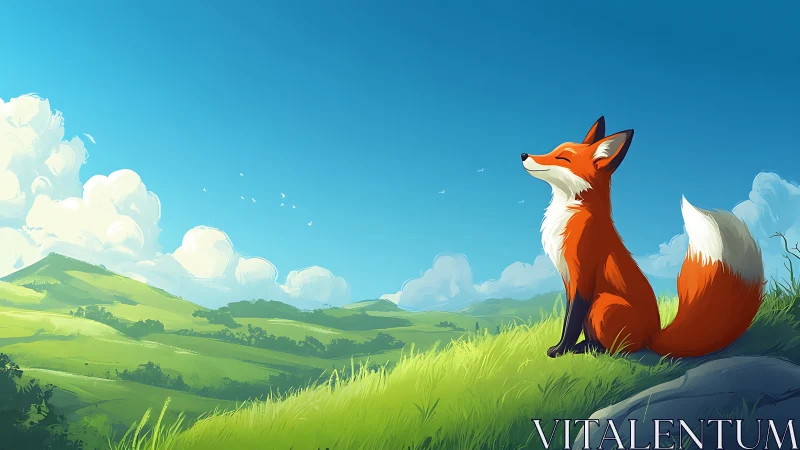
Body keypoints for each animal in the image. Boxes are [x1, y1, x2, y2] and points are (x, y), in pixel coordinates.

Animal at [521, 116, 764, 358]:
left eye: (562, 157)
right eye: (554, 150)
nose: (523, 155)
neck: (571, 212)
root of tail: (652, 335)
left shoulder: (582, 275)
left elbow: (571, 321)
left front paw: (560, 350)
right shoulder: (568, 280)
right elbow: (573, 319)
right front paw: (569, 347)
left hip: (603, 305)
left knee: (624, 349)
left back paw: (598, 349)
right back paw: (588, 346)